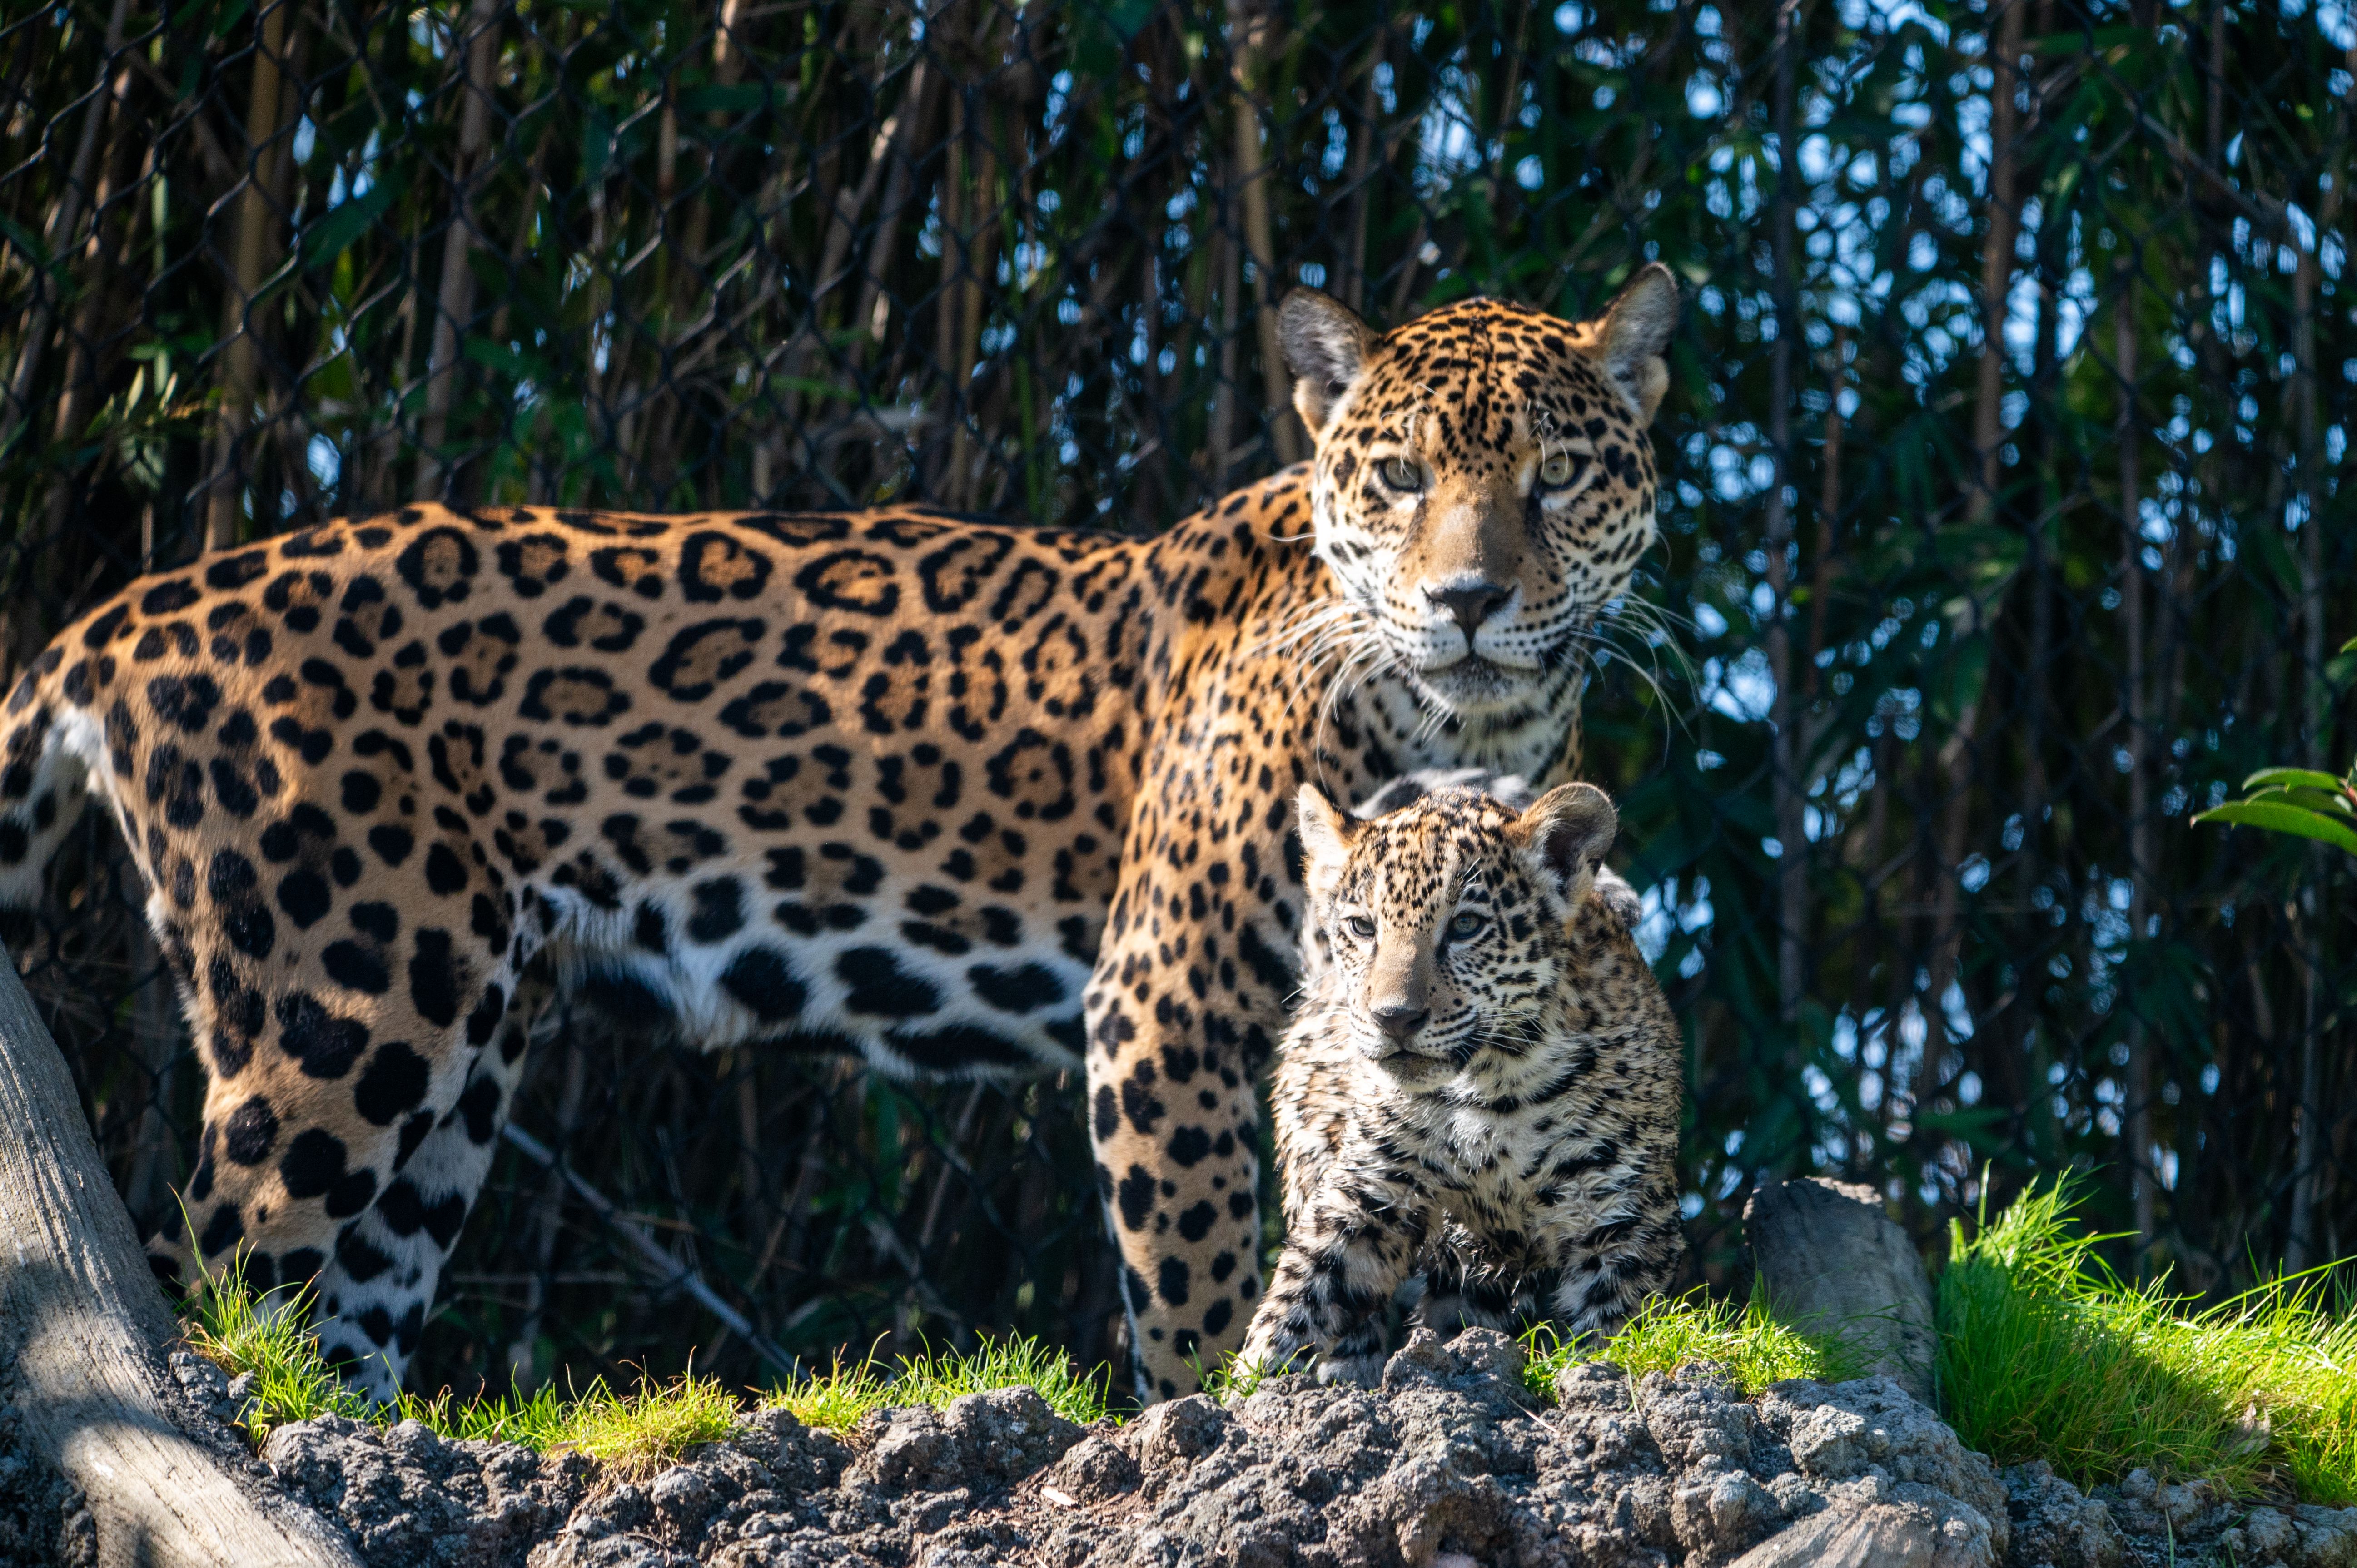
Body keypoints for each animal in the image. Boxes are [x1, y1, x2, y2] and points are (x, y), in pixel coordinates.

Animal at [1238, 778, 1684, 1388]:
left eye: (1467, 927)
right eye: (1362, 927)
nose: (1393, 1018)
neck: (1493, 1090)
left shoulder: (1620, 1215)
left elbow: (1616, 1326)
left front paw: (1597, 1376)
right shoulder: (1369, 1187)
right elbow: (1304, 1287)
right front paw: (1250, 1387)